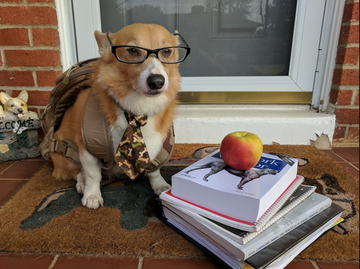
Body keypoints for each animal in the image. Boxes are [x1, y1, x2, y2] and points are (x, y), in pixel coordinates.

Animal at [51, 23, 190, 208]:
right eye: (133, 50)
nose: (157, 82)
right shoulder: (86, 149)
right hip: (63, 150)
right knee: (76, 171)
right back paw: (82, 184)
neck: (136, 110)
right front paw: (92, 196)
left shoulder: (156, 149)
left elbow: (154, 170)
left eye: (167, 51)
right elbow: (93, 174)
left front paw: (160, 186)